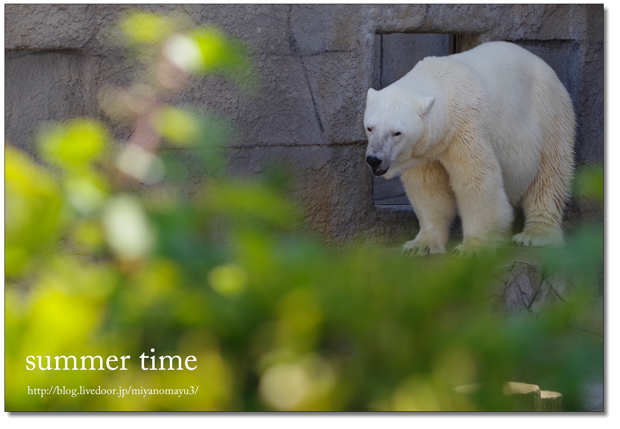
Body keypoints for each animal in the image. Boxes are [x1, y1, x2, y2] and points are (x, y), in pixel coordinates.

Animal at [364, 41, 576, 254]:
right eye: (370, 128)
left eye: (397, 133)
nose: (374, 159)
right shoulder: (426, 149)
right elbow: (428, 187)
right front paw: (420, 245)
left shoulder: (465, 129)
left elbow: (475, 180)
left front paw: (472, 248)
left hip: (549, 115)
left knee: (550, 175)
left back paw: (535, 235)